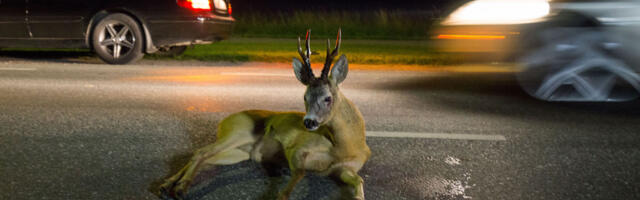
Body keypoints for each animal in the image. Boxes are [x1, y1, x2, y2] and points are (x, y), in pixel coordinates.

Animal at [158, 29, 372, 200]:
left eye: (327, 98)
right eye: (305, 96)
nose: (309, 122)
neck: (345, 147)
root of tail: (223, 122)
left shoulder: (344, 169)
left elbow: (359, 180)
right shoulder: (297, 148)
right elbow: (299, 174)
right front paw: (279, 190)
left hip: (239, 152)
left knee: (205, 157)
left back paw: (167, 185)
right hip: (239, 132)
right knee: (201, 152)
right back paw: (179, 188)